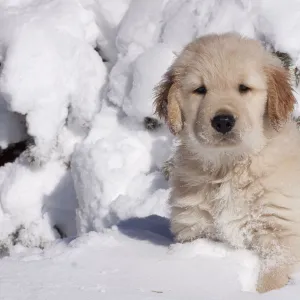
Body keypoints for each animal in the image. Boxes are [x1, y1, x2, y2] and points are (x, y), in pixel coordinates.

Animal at [155, 32, 300, 292]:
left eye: (244, 88)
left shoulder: (282, 232)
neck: (230, 166)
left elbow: (275, 275)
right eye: (200, 89)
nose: (223, 121)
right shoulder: (194, 227)